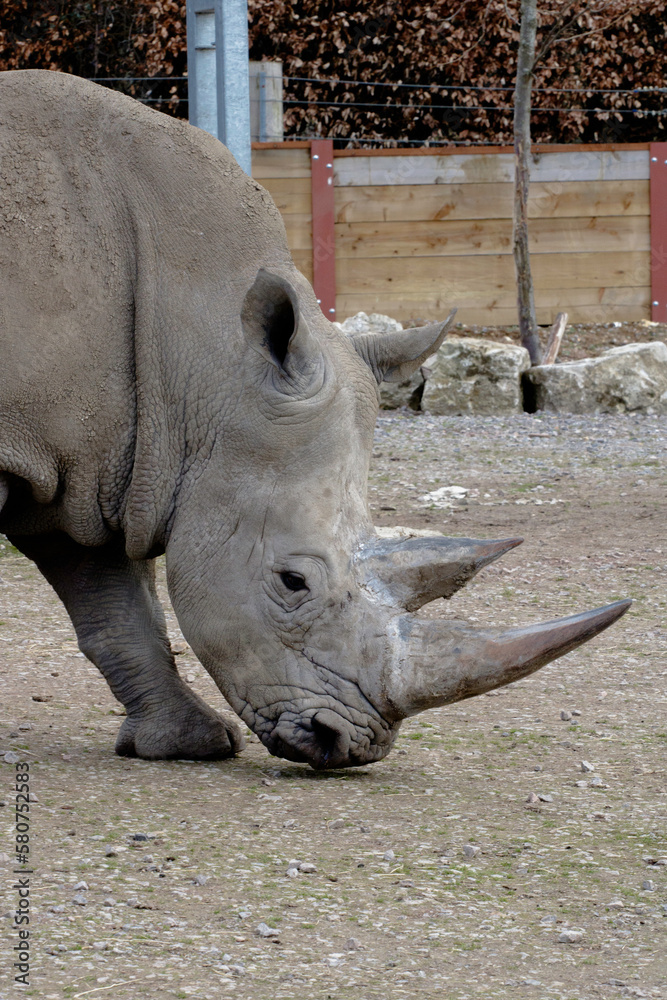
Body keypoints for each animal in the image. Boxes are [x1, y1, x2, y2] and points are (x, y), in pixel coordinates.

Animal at [0, 71, 629, 769]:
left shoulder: (89, 463)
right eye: (292, 581)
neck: (198, 356)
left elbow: (115, 606)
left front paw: (187, 743)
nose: (350, 744)